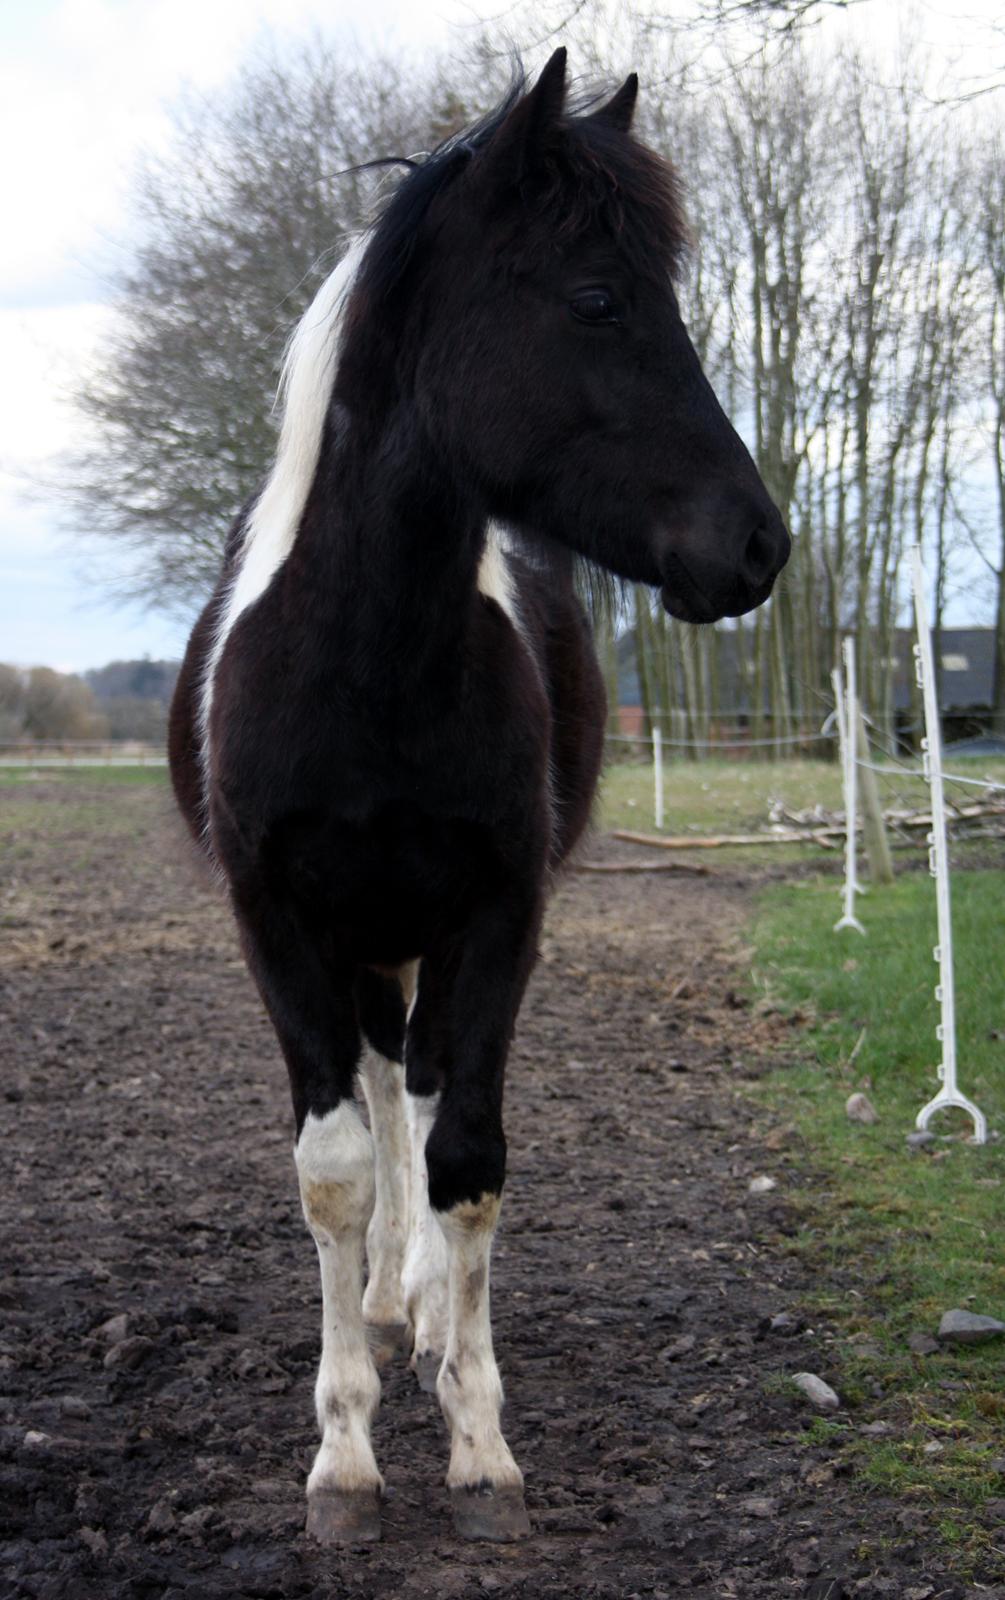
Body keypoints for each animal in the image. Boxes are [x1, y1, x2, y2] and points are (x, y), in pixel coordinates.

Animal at [168, 53, 790, 1548]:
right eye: (598, 299)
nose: (759, 544)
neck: (371, 662)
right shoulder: (280, 927)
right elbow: (337, 1167)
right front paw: (343, 1458)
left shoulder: (499, 918)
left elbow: (469, 1158)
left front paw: (478, 1441)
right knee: (384, 1098)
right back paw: (391, 1309)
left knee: (424, 1093)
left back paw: (434, 1321)